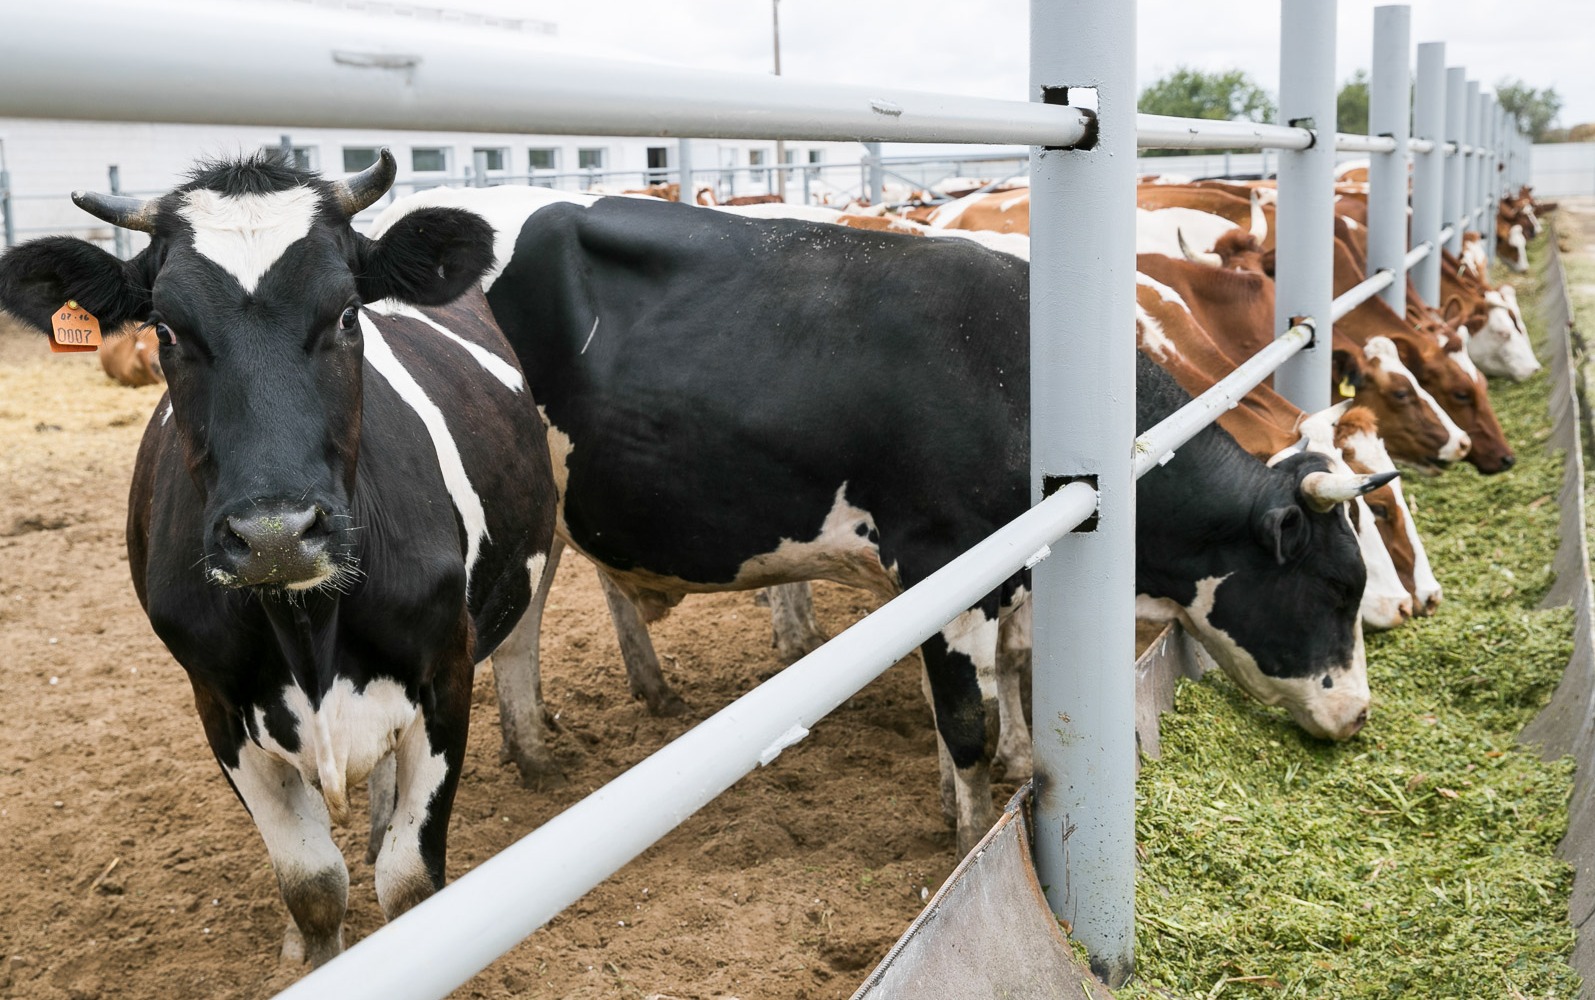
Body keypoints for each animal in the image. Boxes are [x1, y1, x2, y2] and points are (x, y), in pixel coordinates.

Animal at [0, 152, 555, 963]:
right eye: (164, 329)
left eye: (349, 314)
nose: (274, 535)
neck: (310, 628)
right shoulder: (217, 703)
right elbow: (313, 886)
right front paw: (313, 952)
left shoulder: (445, 675)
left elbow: (411, 884)